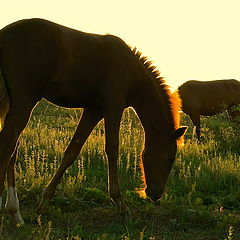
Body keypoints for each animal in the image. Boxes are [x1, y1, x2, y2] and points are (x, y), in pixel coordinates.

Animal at [0, 18, 187, 225]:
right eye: (170, 157)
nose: (156, 195)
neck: (132, 70)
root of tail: (5, 33)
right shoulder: (114, 107)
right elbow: (112, 149)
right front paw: (121, 204)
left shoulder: (93, 111)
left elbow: (72, 151)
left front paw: (44, 203)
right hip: (24, 102)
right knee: (7, 145)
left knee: (13, 148)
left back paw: (15, 214)